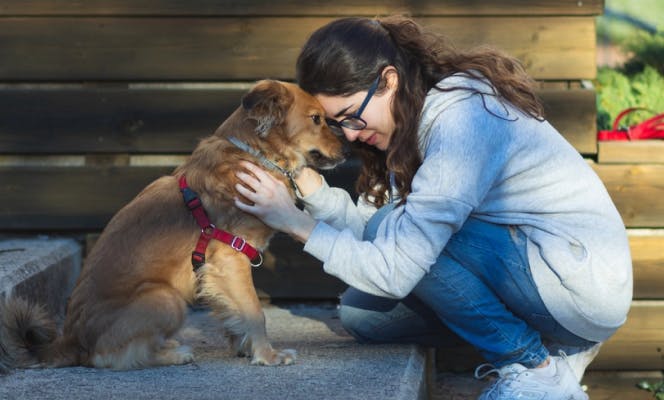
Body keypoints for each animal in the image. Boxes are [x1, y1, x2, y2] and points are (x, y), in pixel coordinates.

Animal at [1, 80, 348, 372]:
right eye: (316, 119)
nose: (347, 149)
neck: (253, 154)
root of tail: (71, 339)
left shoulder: (214, 270)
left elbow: (232, 310)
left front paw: (245, 347)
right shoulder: (230, 257)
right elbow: (253, 310)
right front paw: (267, 355)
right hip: (167, 298)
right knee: (107, 358)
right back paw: (173, 354)